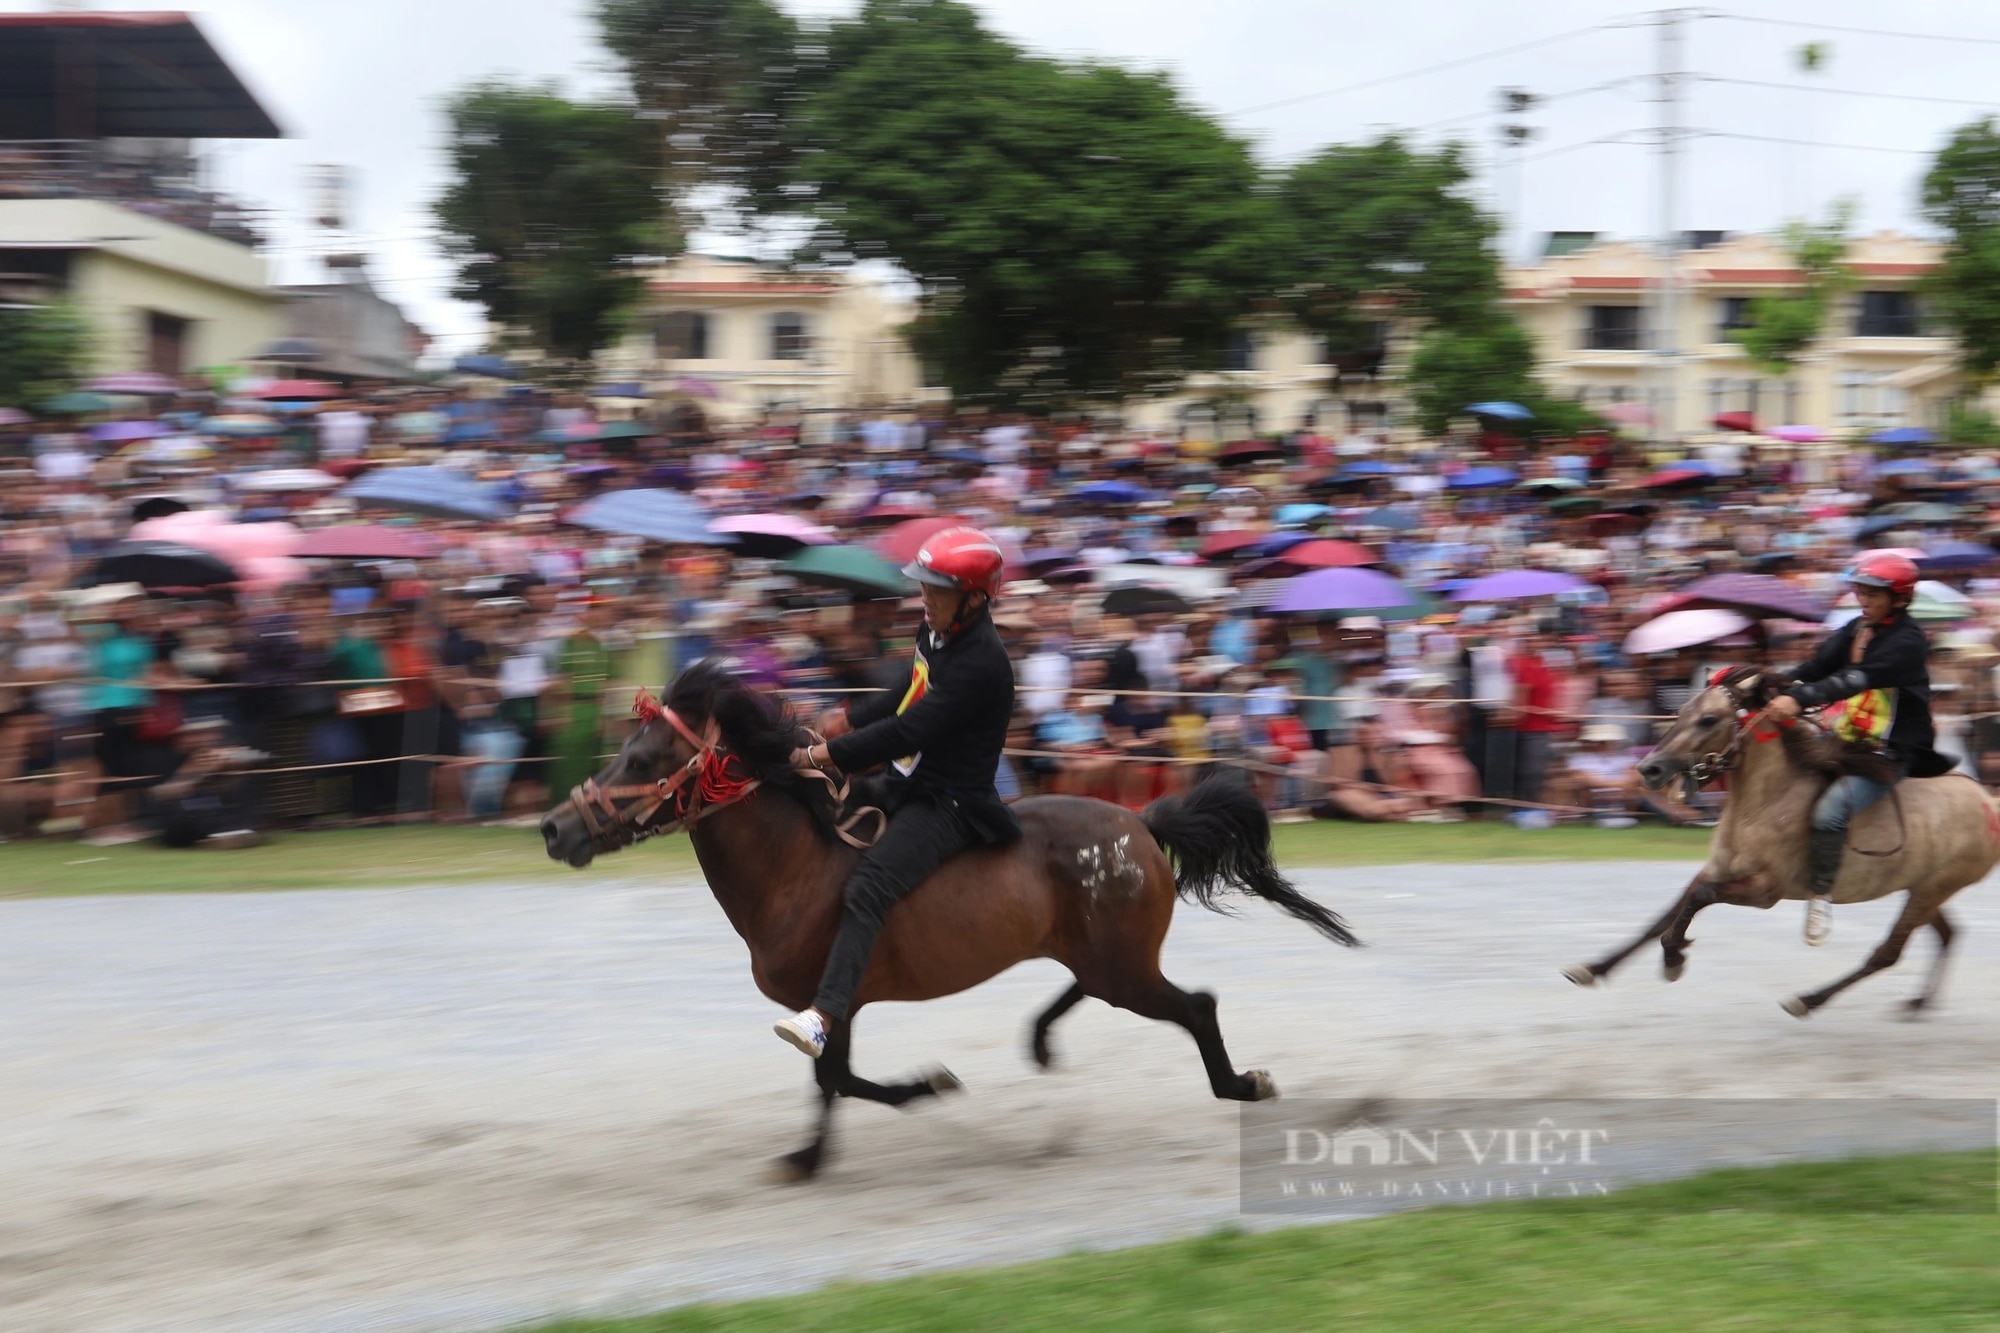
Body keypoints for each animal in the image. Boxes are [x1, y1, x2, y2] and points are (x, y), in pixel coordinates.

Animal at [540, 660, 1352, 1176]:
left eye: (642, 758)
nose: (554, 828)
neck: (796, 867)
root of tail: (1142, 821)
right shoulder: (841, 1005)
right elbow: (838, 1078)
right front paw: (867, 1119)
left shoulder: (835, 996)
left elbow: (836, 1078)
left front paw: (886, 1110)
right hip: (1104, 956)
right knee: (1103, 988)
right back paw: (1042, 1039)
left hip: (1121, 966)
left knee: (1197, 1005)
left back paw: (1241, 1084)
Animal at [1560, 664, 2000, 1016]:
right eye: (1681, 712)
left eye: (1708, 720)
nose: (1649, 770)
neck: (1765, 803)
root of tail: (1987, 799)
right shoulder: (1714, 869)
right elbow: (1664, 917)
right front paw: (1594, 968)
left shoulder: (1764, 890)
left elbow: (1697, 902)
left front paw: (1673, 958)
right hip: (1923, 888)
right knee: (1947, 933)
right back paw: (1919, 1002)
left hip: (1933, 888)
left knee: (1888, 953)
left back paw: (1808, 1000)